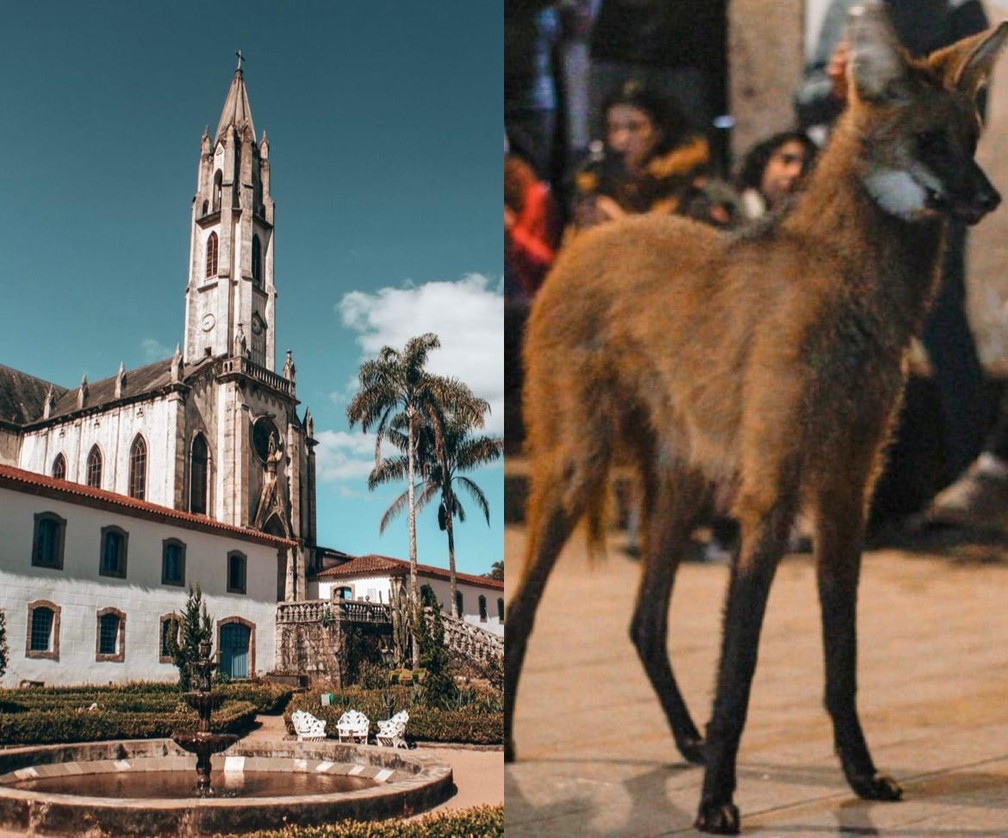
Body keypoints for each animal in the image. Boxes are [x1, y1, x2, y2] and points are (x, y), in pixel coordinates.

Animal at [508, 3, 1008, 834]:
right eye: (930, 143)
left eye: (971, 139)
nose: (989, 200)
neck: (858, 296)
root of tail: (589, 238)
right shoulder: (772, 493)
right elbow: (739, 668)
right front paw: (718, 800)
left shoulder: (844, 491)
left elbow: (843, 660)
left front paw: (860, 773)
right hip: (582, 468)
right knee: (522, 608)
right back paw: (509, 743)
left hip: (681, 486)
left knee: (644, 621)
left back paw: (685, 739)